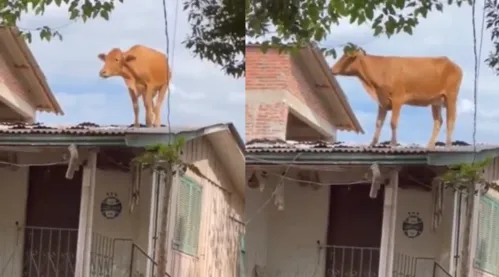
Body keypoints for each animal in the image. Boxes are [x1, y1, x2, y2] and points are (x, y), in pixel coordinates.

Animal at [332, 49, 464, 149]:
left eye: (347, 56)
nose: (332, 69)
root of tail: (452, 63)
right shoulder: (382, 102)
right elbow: (378, 122)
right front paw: (372, 143)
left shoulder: (397, 99)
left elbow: (393, 122)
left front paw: (393, 144)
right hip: (435, 101)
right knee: (438, 121)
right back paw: (430, 145)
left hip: (451, 96)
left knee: (450, 120)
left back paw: (448, 145)